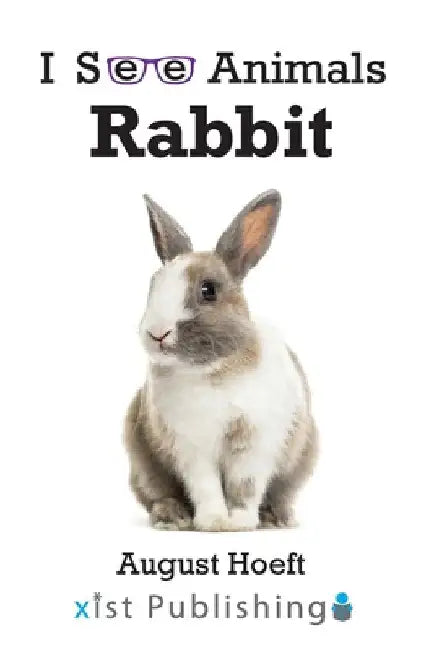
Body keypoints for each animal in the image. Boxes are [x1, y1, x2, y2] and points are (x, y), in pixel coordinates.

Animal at [124, 189, 318, 531]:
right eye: (153, 285)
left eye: (208, 290)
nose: (157, 333)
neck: (212, 371)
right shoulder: (192, 447)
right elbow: (206, 486)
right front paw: (214, 521)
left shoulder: (254, 443)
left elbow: (245, 486)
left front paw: (239, 522)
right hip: (143, 465)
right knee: (158, 495)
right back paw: (172, 517)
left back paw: (278, 518)